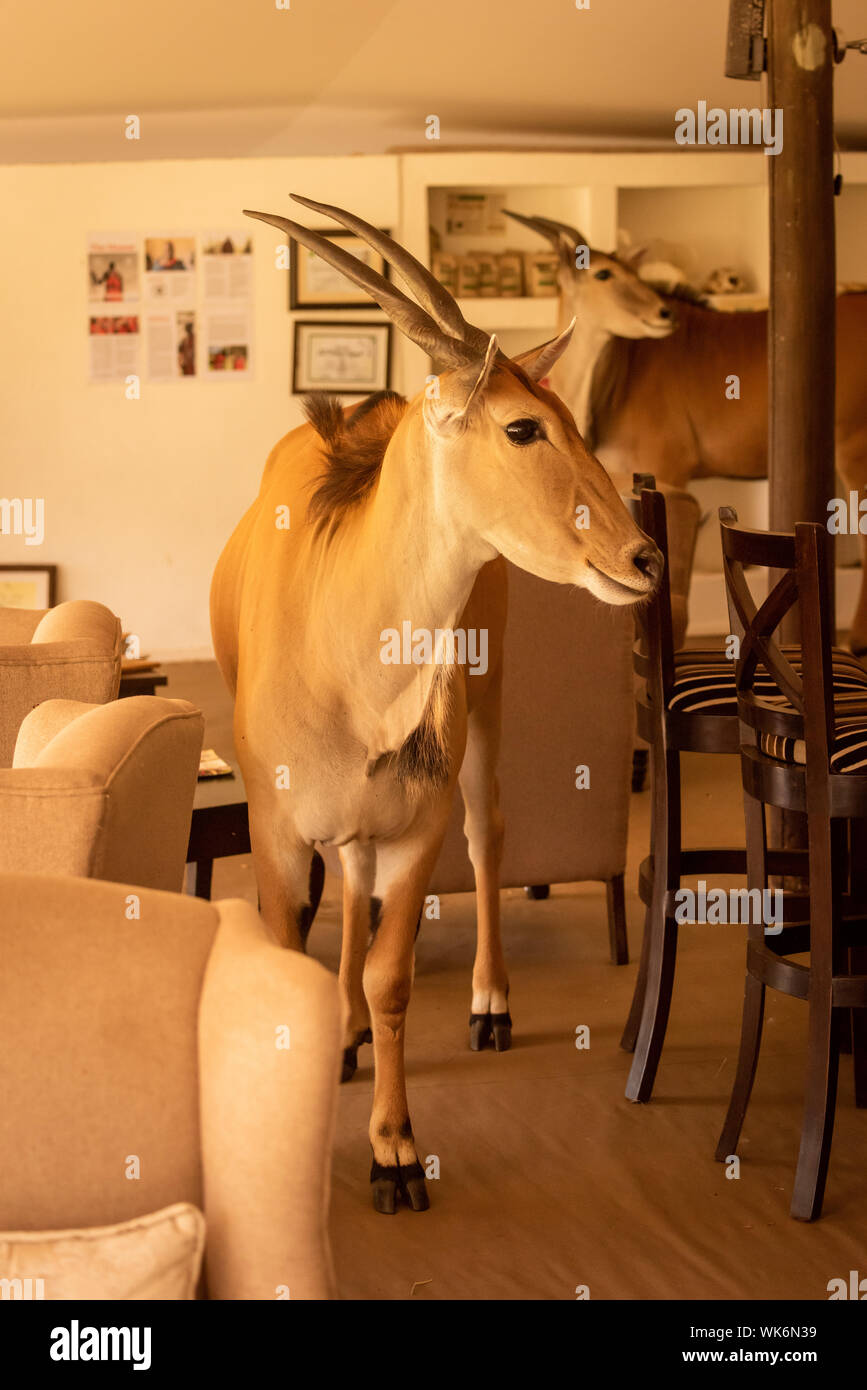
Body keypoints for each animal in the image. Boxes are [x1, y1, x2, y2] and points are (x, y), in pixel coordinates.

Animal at [213, 193, 661, 1206]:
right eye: (523, 427)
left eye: (568, 416)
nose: (643, 557)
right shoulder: (275, 827)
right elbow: (298, 953)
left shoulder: (414, 829)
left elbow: (394, 975)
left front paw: (393, 1151)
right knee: (349, 885)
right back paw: (342, 1033)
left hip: (483, 712)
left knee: (487, 833)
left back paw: (490, 1003)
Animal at [508, 209, 867, 650]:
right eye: (604, 273)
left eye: (635, 272)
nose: (666, 314)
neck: (617, 373)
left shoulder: (669, 474)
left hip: (853, 449)